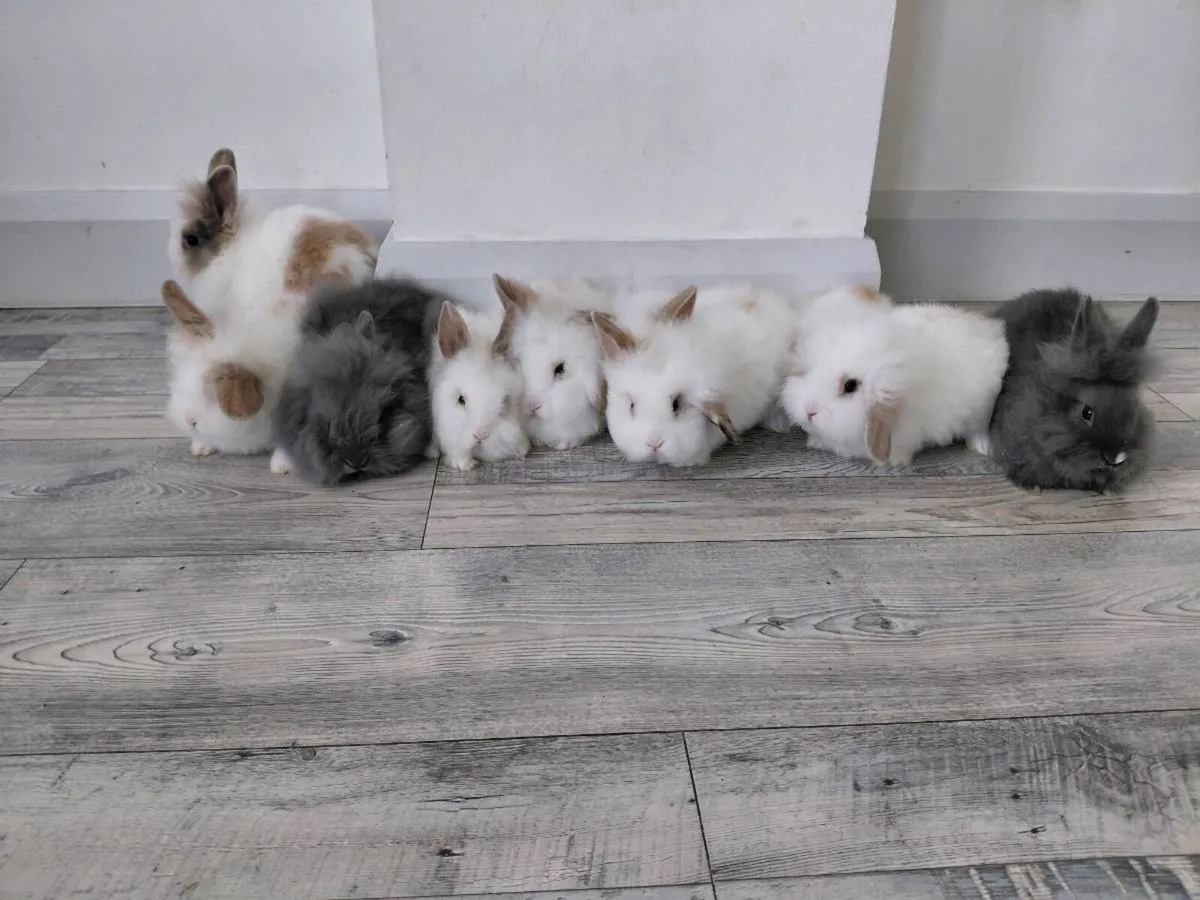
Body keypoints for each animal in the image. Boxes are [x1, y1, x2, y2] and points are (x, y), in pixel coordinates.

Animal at [780, 285, 1009, 467]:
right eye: (810, 370)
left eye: (850, 386)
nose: (809, 411)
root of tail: (988, 329)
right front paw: (815, 442)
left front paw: (896, 462)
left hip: (981, 410)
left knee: (977, 430)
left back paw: (982, 448)